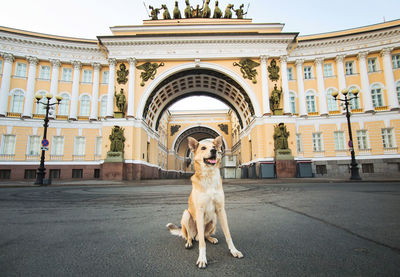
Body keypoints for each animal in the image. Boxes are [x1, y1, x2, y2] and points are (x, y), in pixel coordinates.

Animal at [166, 136, 242, 268]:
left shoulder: (221, 210)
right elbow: (202, 243)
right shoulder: (200, 211)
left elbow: (228, 234)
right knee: (191, 236)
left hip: (214, 219)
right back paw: (189, 242)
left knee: (205, 235)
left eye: (214, 147)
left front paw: (234, 251)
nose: (214, 151)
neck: (209, 177)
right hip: (186, 215)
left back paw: (212, 239)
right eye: (203, 148)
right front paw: (202, 258)